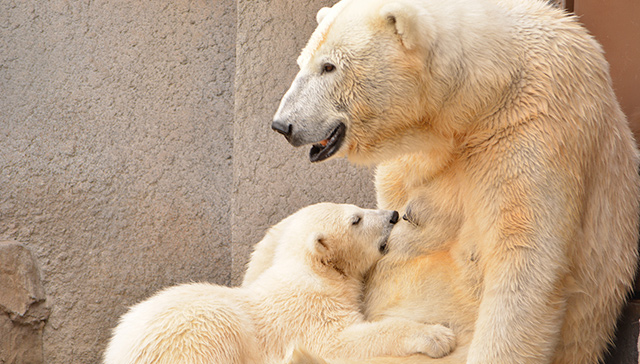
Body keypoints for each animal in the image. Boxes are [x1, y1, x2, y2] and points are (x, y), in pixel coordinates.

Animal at [272, 0, 640, 364]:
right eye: (302, 63)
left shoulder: (535, 123)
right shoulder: (415, 159)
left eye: (329, 66)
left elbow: (524, 259)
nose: (282, 125)